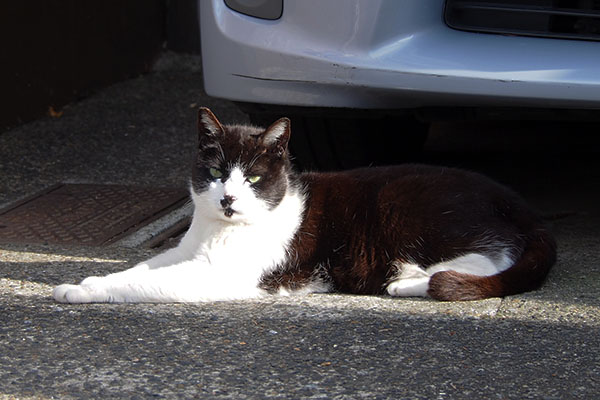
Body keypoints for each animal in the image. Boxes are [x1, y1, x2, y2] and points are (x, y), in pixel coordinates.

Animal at [54, 107, 556, 304]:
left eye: (254, 178)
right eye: (215, 173)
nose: (228, 198)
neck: (216, 231)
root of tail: (525, 210)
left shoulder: (216, 275)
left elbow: (144, 283)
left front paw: (80, 291)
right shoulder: (184, 252)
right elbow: (141, 268)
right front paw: (87, 280)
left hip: (410, 210)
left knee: (479, 267)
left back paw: (404, 283)